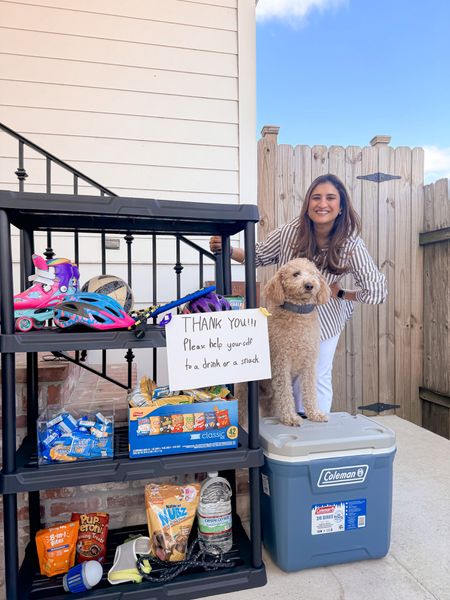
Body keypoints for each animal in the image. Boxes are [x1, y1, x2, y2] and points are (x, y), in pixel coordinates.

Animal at [239, 256, 330, 426]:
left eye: (313, 273)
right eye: (296, 274)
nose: (309, 285)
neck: (298, 314)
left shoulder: (309, 363)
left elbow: (310, 390)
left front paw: (314, 413)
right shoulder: (281, 362)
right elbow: (285, 392)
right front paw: (290, 417)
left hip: (268, 400)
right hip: (245, 393)